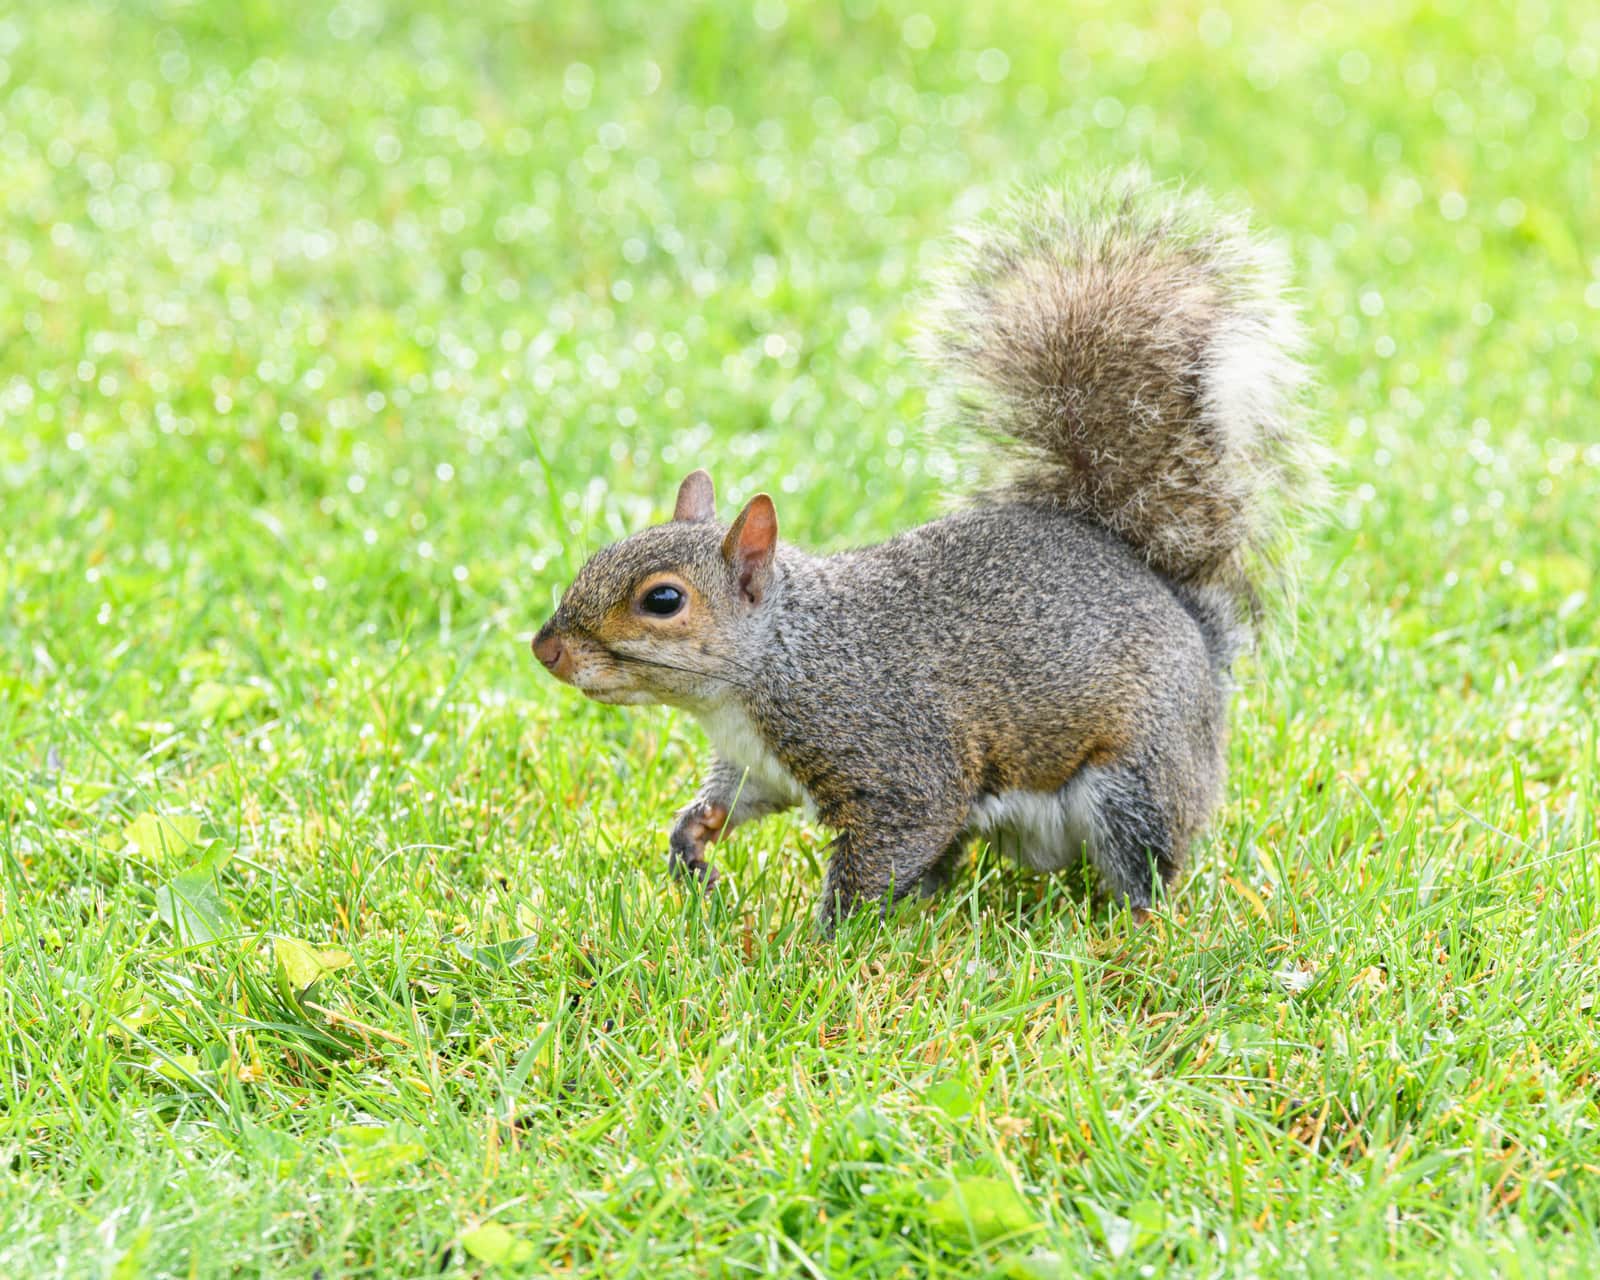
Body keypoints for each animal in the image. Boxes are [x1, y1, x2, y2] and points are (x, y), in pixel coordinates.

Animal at [531, 171, 1324, 933]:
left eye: (663, 599)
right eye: (602, 551)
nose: (545, 649)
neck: (777, 656)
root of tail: (1193, 626)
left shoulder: (891, 749)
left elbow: (894, 838)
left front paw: (822, 942)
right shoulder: (759, 762)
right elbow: (735, 800)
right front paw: (692, 837)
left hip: (1138, 778)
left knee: (1146, 867)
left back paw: (1135, 932)